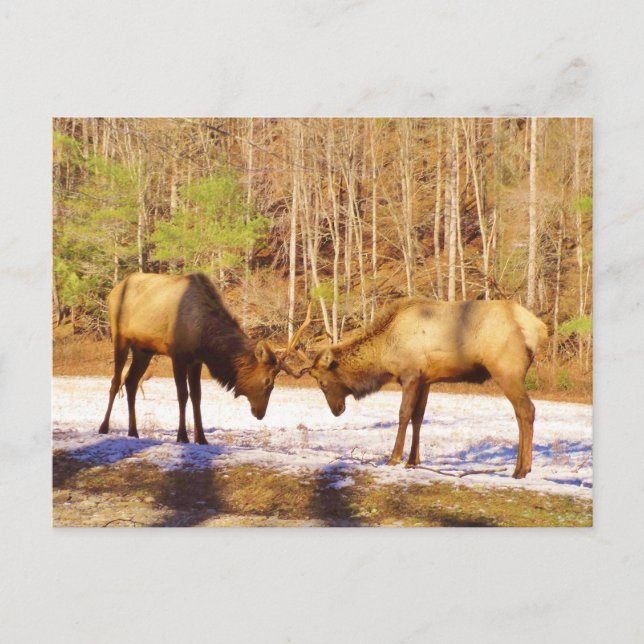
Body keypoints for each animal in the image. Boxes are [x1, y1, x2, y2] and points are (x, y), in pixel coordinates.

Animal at [99, 272, 309, 444]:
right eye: (268, 382)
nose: (260, 414)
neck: (204, 339)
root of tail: (112, 291)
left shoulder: (196, 361)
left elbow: (197, 396)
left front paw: (201, 438)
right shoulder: (178, 355)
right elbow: (182, 395)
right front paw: (182, 437)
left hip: (143, 349)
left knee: (131, 382)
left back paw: (133, 432)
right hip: (120, 337)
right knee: (115, 380)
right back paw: (104, 427)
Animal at [293, 298, 547, 479]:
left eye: (322, 383)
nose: (337, 410)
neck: (384, 353)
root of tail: (538, 328)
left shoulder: (411, 375)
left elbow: (403, 414)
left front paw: (394, 458)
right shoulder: (426, 380)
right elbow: (418, 417)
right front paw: (413, 460)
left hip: (506, 370)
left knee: (527, 409)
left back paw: (521, 470)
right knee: (522, 412)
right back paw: (522, 467)